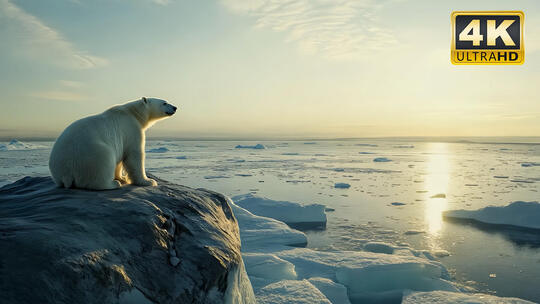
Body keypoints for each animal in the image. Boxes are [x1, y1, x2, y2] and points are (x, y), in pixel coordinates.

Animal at [49, 97, 177, 190]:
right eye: (164, 103)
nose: (175, 107)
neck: (134, 113)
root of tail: (67, 173)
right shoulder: (131, 129)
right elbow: (134, 155)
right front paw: (148, 181)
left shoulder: (121, 139)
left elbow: (119, 159)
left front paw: (122, 178)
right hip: (92, 156)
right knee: (101, 166)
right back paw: (113, 184)